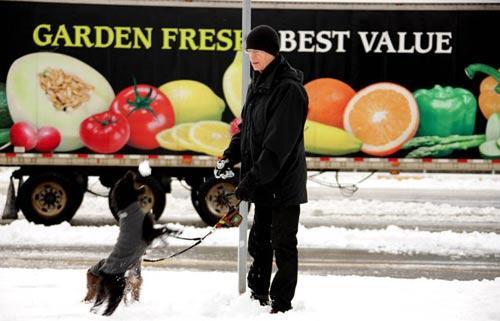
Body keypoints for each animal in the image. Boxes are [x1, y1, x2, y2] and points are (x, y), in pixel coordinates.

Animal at [84, 170, 172, 316]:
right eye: (125, 180)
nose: (130, 171)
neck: (129, 207)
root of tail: (102, 271)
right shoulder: (149, 233)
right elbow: (163, 230)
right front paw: (175, 230)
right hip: (117, 289)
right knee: (109, 307)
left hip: (103, 292)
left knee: (96, 305)